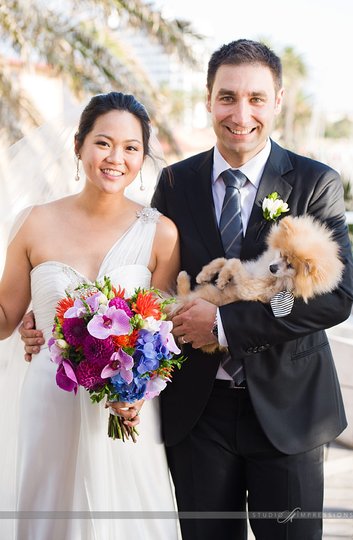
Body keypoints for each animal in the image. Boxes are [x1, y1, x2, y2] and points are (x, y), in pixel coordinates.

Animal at [177, 214, 342, 308]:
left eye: (290, 266)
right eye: (281, 253)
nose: (273, 268)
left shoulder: (250, 287)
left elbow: (233, 262)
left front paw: (222, 278)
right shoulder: (251, 269)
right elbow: (224, 260)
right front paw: (204, 275)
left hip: (202, 297)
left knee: (183, 296)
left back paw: (182, 277)